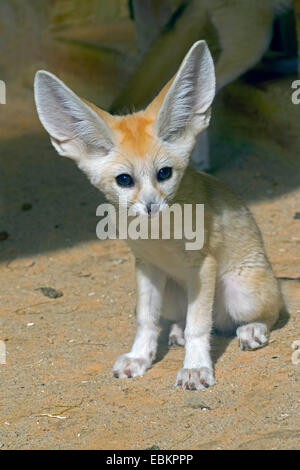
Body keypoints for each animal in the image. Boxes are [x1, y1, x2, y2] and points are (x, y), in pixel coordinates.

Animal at [34, 41, 282, 390]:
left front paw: (195, 367)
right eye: (124, 180)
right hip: (173, 294)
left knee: (264, 313)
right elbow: (146, 320)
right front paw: (140, 357)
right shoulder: (146, 266)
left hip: (240, 291)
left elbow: (198, 325)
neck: (158, 235)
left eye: (164, 173)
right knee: (190, 319)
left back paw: (252, 329)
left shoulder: (202, 266)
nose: (152, 207)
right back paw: (177, 332)